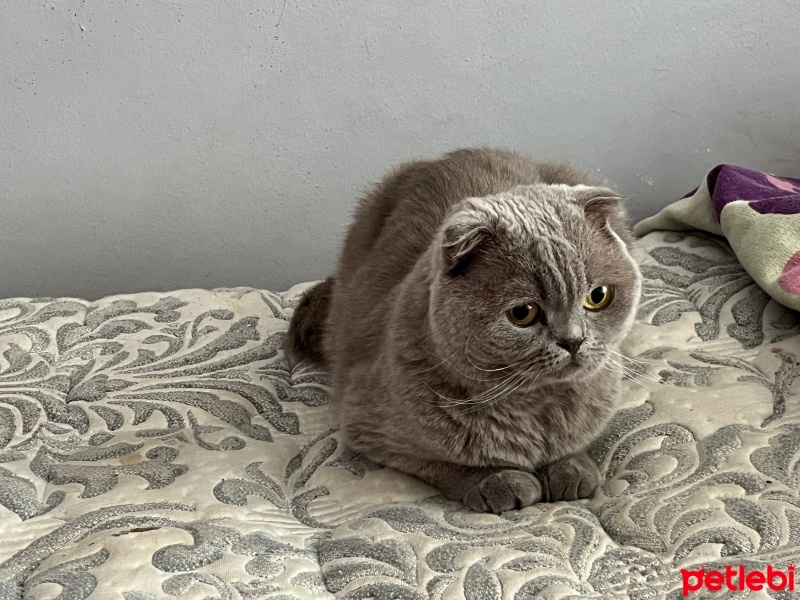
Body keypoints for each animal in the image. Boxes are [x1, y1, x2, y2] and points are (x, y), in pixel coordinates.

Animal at [284, 148, 640, 512]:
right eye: (523, 313)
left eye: (598, 296)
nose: (573, 340)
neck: (536, 407)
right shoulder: (367, 427)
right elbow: (444, 464)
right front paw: (497, 482)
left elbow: (577, 442)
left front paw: (572, 468)